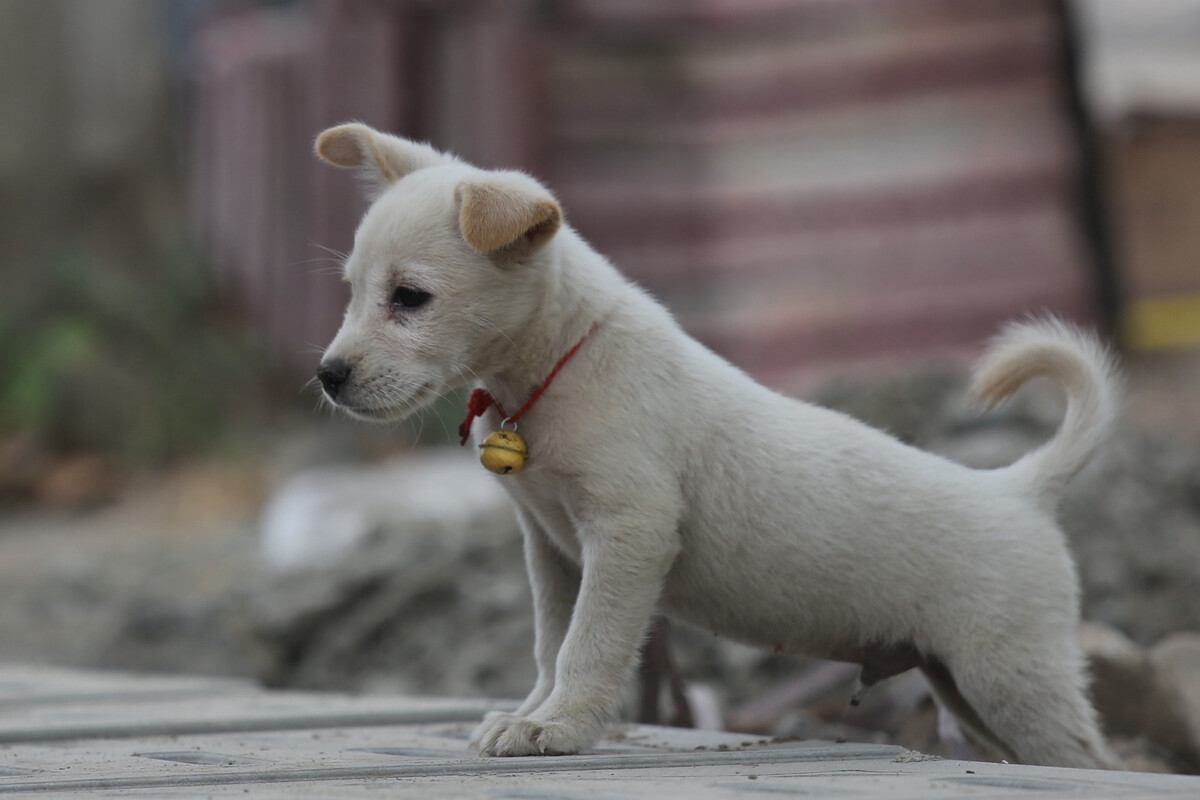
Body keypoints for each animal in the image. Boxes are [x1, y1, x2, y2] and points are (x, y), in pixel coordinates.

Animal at [314, 120, 1118, 767]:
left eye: (409, 297)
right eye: (351, 289)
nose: (328, 376)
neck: (558, 364)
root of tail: (1021, 487)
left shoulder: (629, 533)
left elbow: (588, 644)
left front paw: (560, 728)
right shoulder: (550, 547)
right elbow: (550, 643)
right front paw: (531, 714)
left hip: (1011, 678)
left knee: (1100, 762)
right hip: (965, 692)